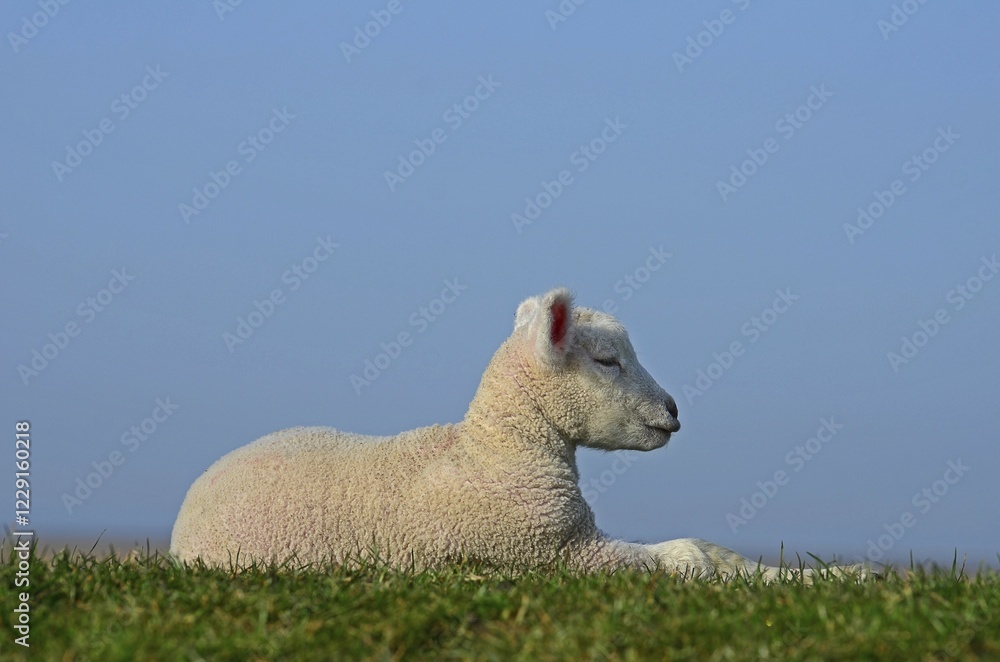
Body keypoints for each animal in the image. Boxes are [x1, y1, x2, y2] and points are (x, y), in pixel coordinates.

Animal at [170, 287, 871, 582]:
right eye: (607, 361)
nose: (674, 411)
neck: (494, 453)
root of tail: (188, 506)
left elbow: (707, 549)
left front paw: (839, 574)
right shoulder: (555, 555)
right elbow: (690, 557)